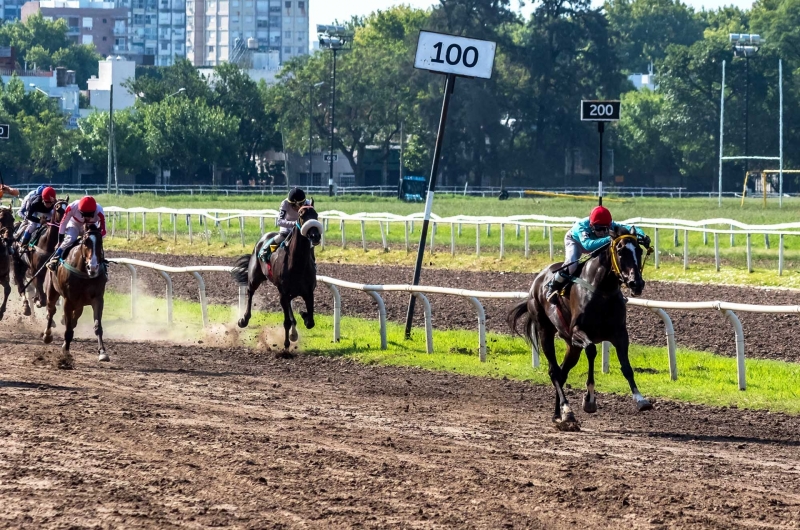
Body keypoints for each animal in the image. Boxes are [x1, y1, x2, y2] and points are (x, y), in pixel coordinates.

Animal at [43, 221, 108, 360]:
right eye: (85, 242)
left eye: (100, 242)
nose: (93, 267)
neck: (84, 273)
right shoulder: (68, 300)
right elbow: (67, 328)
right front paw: (66, 351)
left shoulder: (98, 299)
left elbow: (97, 326)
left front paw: (102, 352)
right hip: (52, 291)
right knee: (51, 310)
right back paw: (47, 335)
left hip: (80, 304)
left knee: (74, 318)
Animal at [231, 205, 322, 346]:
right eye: (301, 216)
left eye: (316, 215)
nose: (315, 236)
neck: (298, 265)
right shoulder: (283, 293)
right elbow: (287, 322)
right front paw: (286, 344)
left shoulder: (308, 292)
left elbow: (310, 322)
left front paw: (303, 315)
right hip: (255, 277)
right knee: (250, 292)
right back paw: (244, 320)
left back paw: (294, 332)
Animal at [510, 226, 652, 428]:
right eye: (620, 251)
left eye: (639, 251)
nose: (636, 283)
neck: (602, 291)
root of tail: (537, 280)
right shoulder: (578, 331)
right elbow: (592, 350)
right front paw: (589, 400)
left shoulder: (620, 334)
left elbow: (626, 367)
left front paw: (641, 400)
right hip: (546, 330)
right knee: (554, 371)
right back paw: (567, 411)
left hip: (572, 346)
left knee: (562, 373)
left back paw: (559, 415)